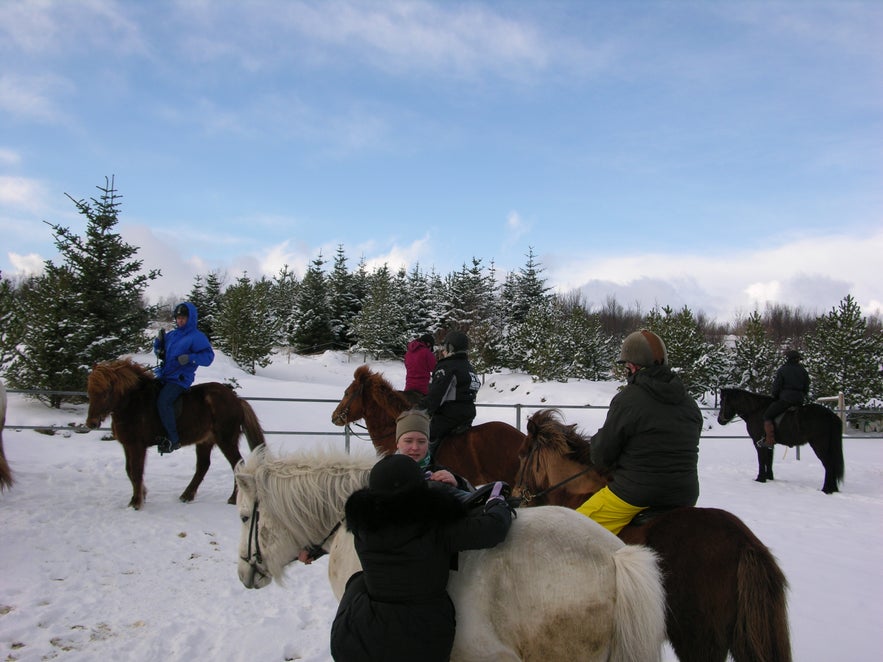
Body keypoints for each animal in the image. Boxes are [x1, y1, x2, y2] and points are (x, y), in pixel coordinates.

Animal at [86, 360, 266, 510]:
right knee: (203, 466)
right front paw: (141, 495)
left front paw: (137, 502)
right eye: (90, 392)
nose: (91, 423)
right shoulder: (127, 445)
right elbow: (129, 471)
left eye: (105, 392)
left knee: (237, 464)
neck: (132, 403)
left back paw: (233, 498)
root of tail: (236, 400)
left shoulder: (137, 445)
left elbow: (136, 471)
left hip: (226, 440)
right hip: (205, 440)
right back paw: (187, 495)